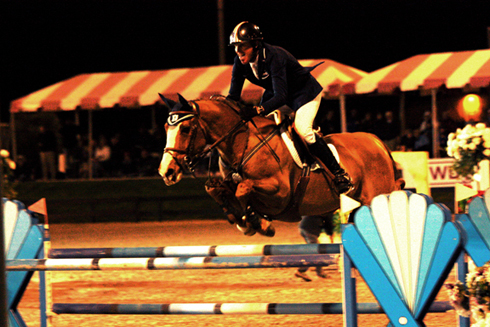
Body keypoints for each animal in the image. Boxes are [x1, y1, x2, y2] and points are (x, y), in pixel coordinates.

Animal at [159, 93, 404, 237]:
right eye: (165, 127)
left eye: (185, 129)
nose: (166, 172)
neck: (242, 143)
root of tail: (376, 141)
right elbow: (217, 190)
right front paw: (243, 220)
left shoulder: (280, 192)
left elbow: (243, 188)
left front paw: (258, 223)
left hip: (376, 195)